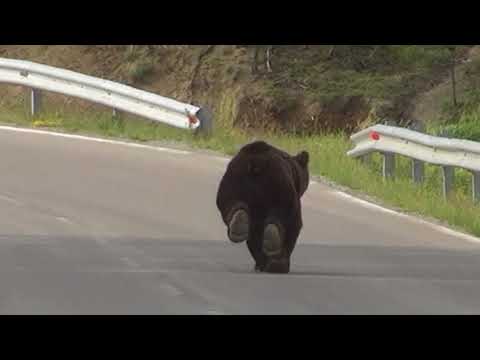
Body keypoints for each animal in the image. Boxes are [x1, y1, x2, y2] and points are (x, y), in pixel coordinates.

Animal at [216, 141, 310, 272]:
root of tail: (256, 163)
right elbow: (295, 227)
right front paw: (276, 264)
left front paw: (261, 264)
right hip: (279, 186)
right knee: (289, 221)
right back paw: (277, 263)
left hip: (232, 183)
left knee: (236, 210)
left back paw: (239, 224)